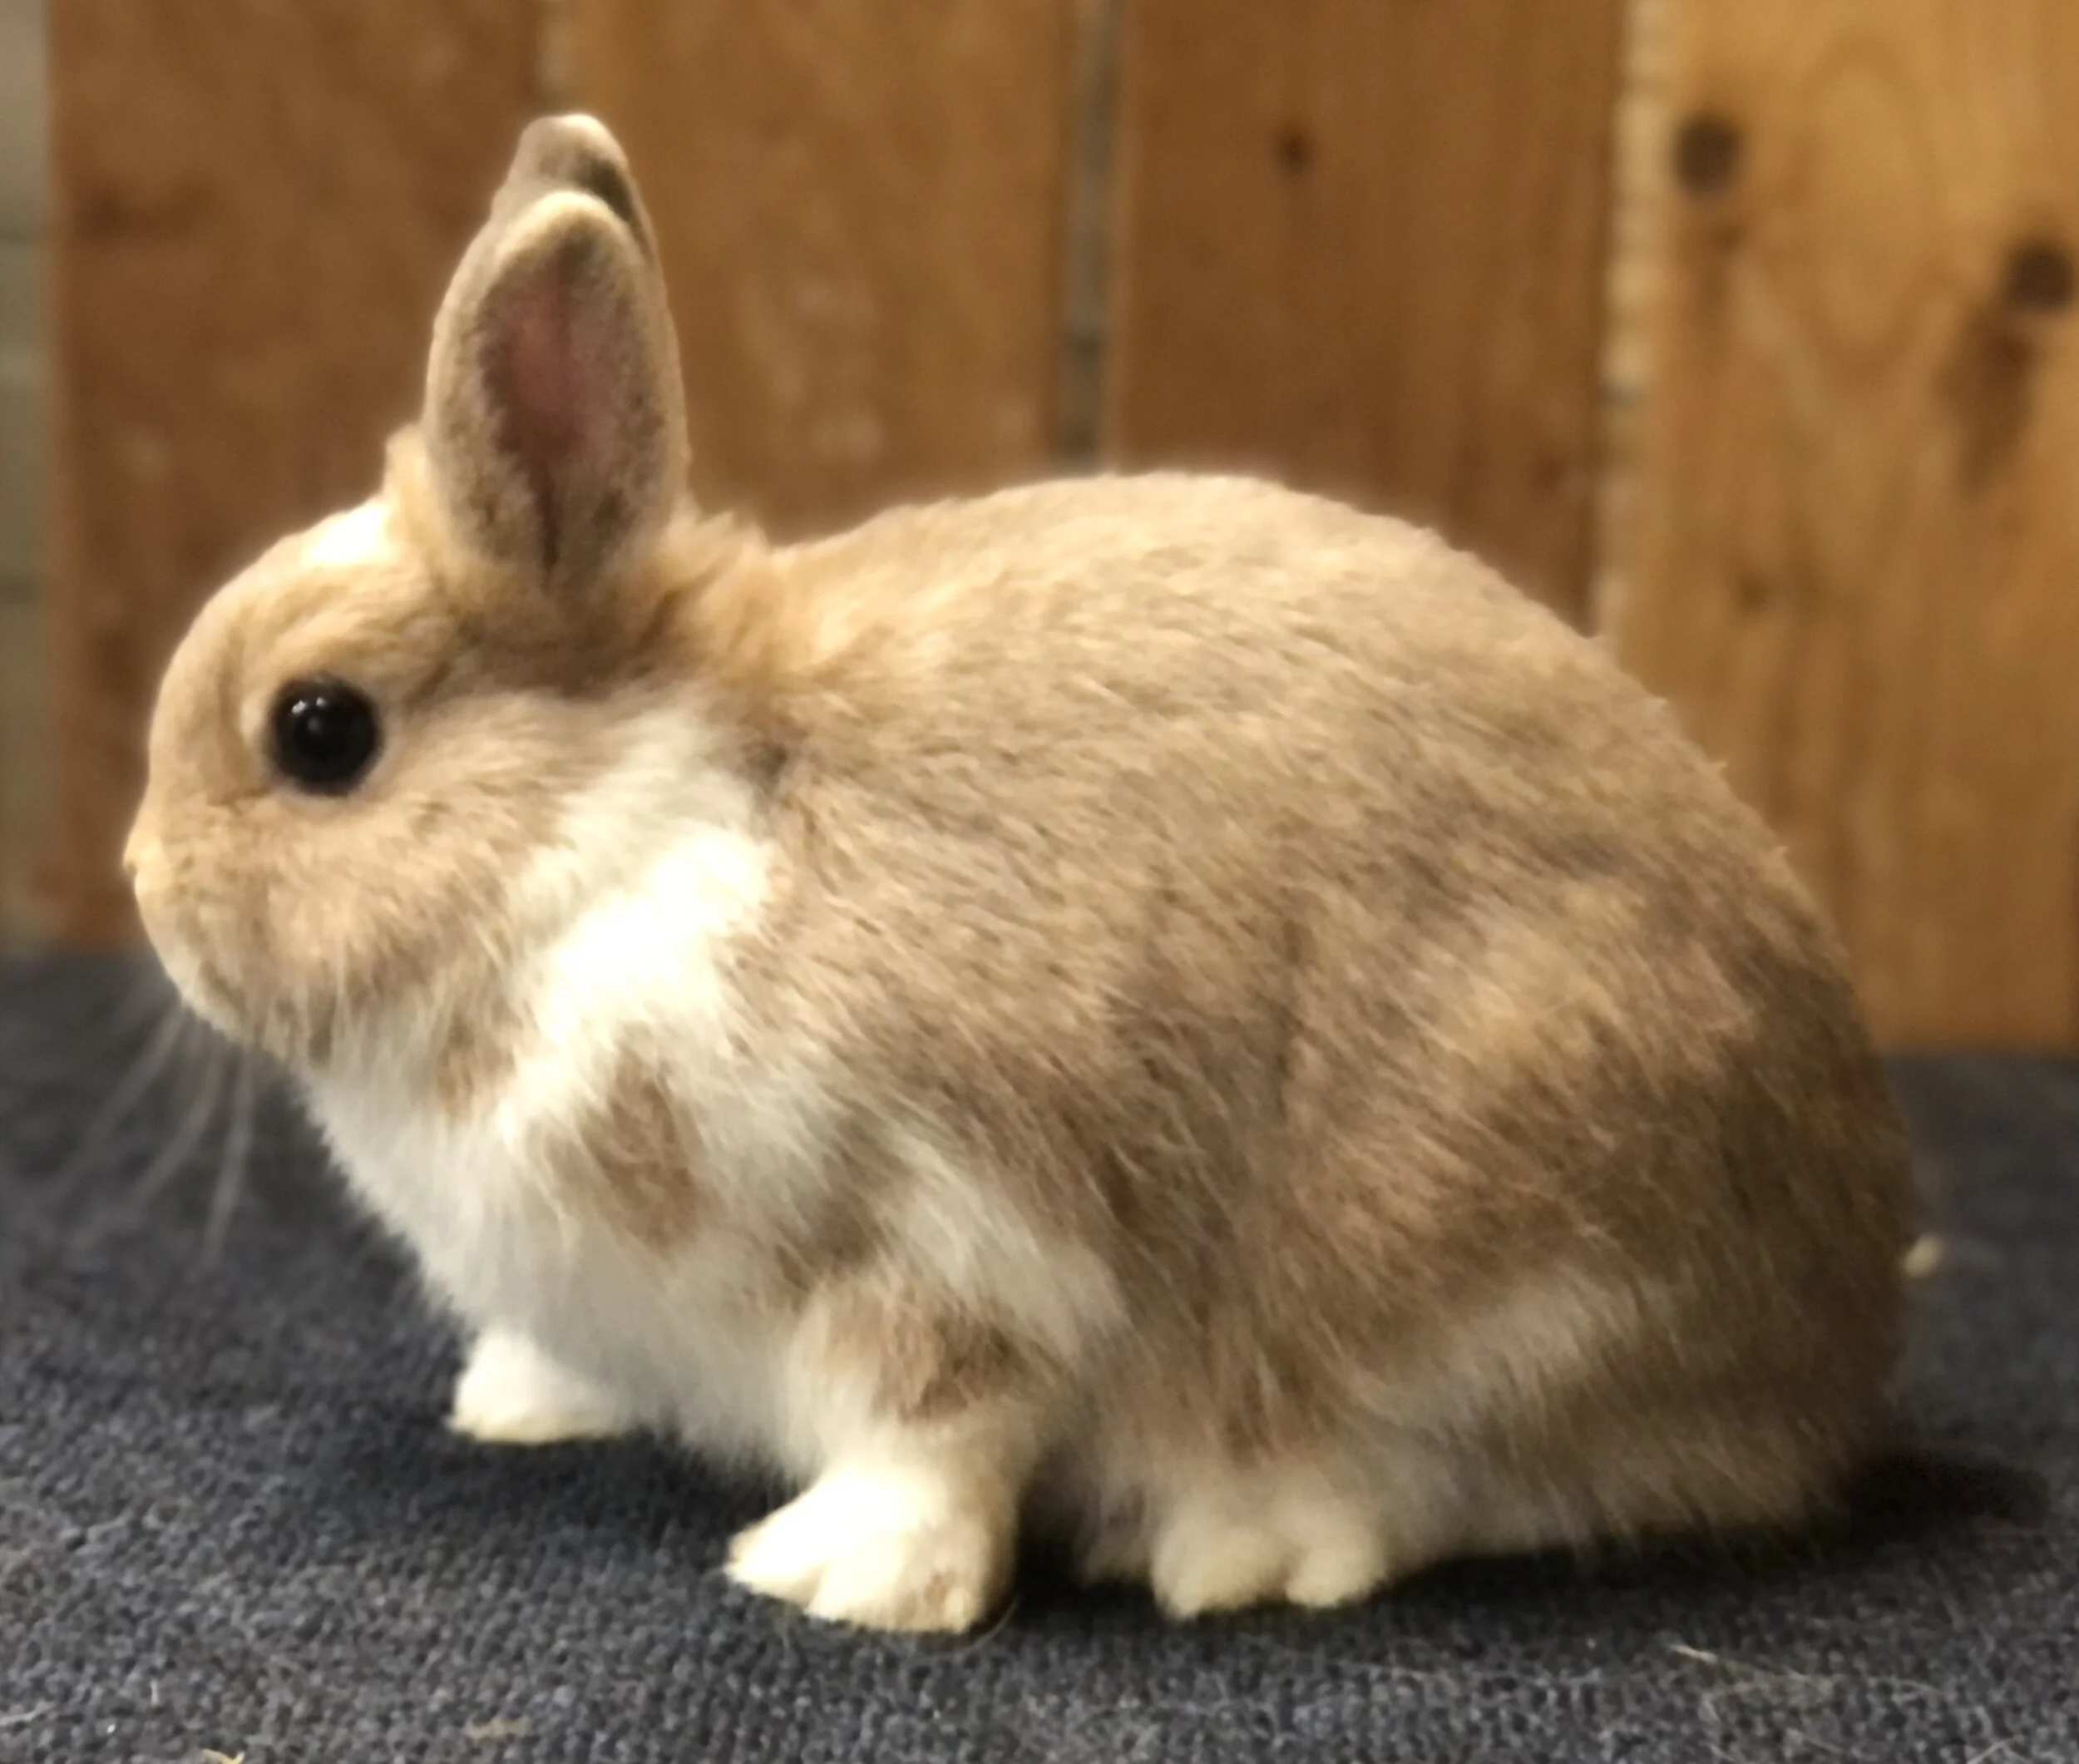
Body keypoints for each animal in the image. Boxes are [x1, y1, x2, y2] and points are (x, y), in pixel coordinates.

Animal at [125, 114, 1915, 1632]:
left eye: (320, 730)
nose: (143, 886)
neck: (607, 838)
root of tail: (1828, 1350)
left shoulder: (944, 1229)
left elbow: (937, 1424)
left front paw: (837, 1578)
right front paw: (519, 1402)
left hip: (1488, 1237)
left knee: (1459, 1485)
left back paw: (1240, 1542)